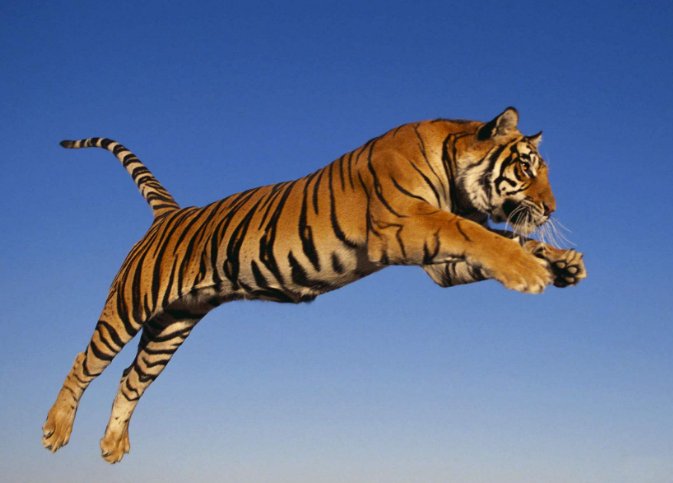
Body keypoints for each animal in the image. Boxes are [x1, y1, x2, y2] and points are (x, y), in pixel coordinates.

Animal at [42, 107, 586, 463]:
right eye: (525, 167)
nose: (552, 209)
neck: (453, 175)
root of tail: (170, 213)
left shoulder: (438, 265)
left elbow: (504, 238)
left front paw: (563, 263)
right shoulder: (409, 224)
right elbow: (481, 235)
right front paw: (530, 271)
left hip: (173, 325)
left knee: (131, 378)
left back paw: (112, 446)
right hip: (130, 305)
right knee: (85, 360)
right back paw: (55, 429)